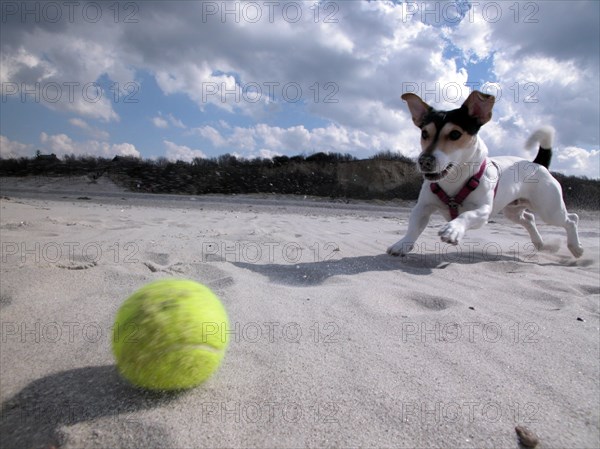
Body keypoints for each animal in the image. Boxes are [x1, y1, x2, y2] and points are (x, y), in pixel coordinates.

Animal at [386, 89, 584, 258]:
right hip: (513, 210)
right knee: (528, 218)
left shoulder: (482, 211)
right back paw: (539, 243)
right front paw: (402, 244)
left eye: (455, 134)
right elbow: (413, 227)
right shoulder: (423, 207)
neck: (453, 179)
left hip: (550, 209)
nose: (424, 161)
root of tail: (538, 164)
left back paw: (576, 247)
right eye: (425, 133)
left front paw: (453, 229)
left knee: (571, 219)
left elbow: (466, 215)